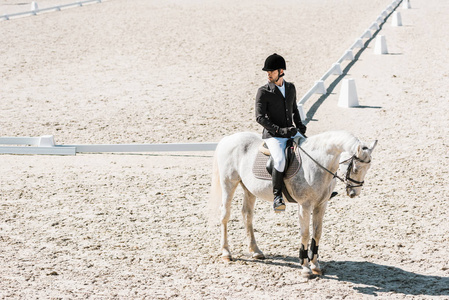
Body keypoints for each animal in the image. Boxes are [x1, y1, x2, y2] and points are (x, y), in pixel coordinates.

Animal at [208, 130, 376, 278]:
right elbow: (305, 234)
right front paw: (305, 268)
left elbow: (317, 233)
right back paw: (226, 253)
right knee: (225, 215)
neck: (317, 163)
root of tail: (228, 138)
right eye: (355, 168)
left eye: (368, 168)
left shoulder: (321, 205)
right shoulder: (305, 205)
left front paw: (315, 266)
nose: (354, 193)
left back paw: (256, 251)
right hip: (229, 183)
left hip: (249, 189)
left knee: (247, 215)